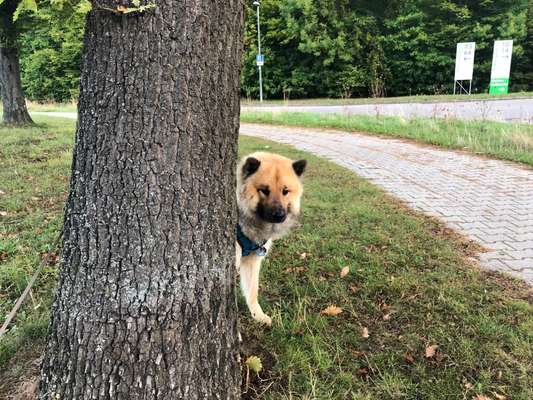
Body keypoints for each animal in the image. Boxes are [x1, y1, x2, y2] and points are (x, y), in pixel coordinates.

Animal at [235, 151, 306, 324]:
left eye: (285, 191)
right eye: (264, 190)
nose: (279, 215)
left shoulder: (252, 261)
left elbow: (252, 291)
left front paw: (257, 315)